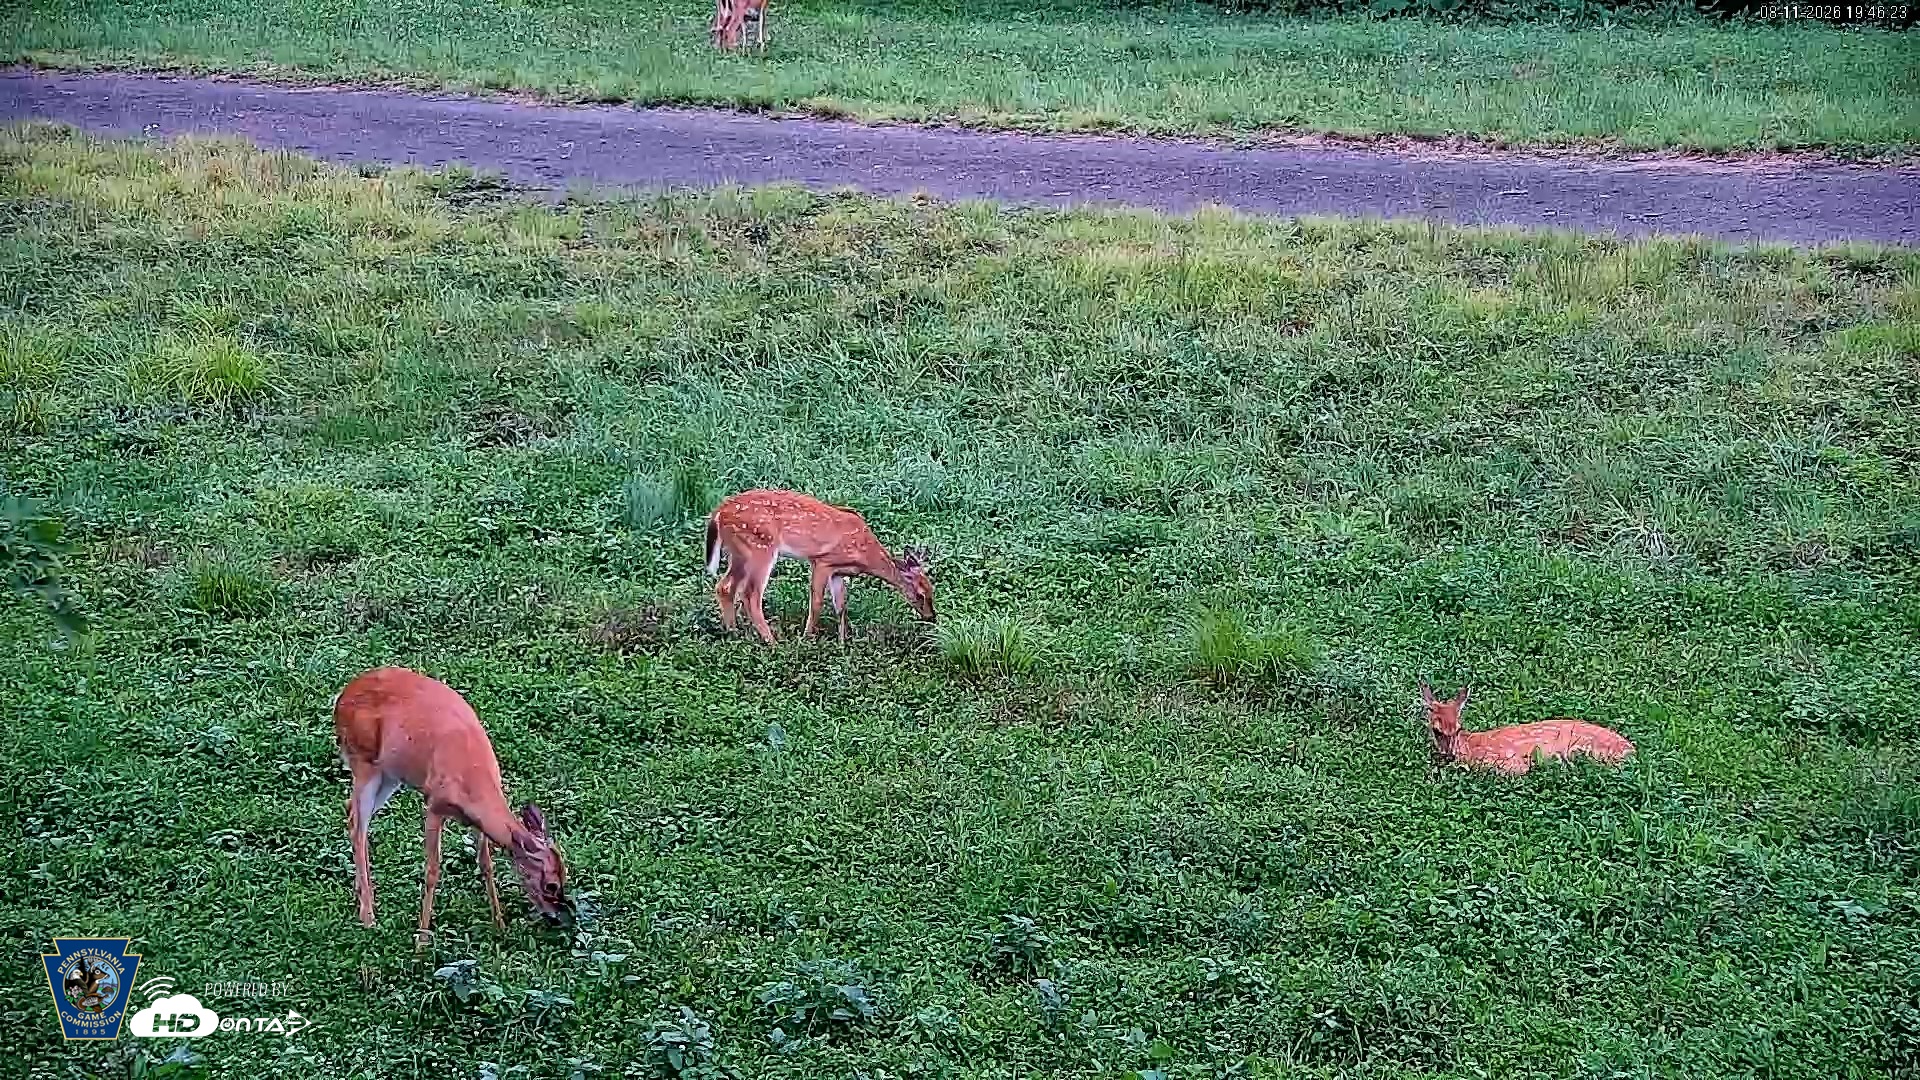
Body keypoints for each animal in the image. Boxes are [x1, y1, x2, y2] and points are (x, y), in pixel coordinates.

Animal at [334, 667, 570, 939]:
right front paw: (422, 940)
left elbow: (486, 863)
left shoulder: (476, 821)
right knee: (358, 826)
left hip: (389, 774)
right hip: (363, 762)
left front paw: (499, 925)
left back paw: (360, 896)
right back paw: (368, 916)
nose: (559, 917)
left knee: (352, 812)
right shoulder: (434, 804)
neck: (471, 776)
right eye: (551, 885)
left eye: (565, 874)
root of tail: (342, 697)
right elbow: (432, 871)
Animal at [705, 488, 934, 645]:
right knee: (750, 594)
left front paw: (843, 643)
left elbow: (841, 606)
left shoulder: (838, 572)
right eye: (920, 594)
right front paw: (807, 638)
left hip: (739, 552)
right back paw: (773, 643)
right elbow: (816, 603)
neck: (865, 554)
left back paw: (733, 633)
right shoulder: (822, 561)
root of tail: (719, 513)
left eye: (932, 591)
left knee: (725, 587)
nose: (932, 617)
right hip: (760, 547)